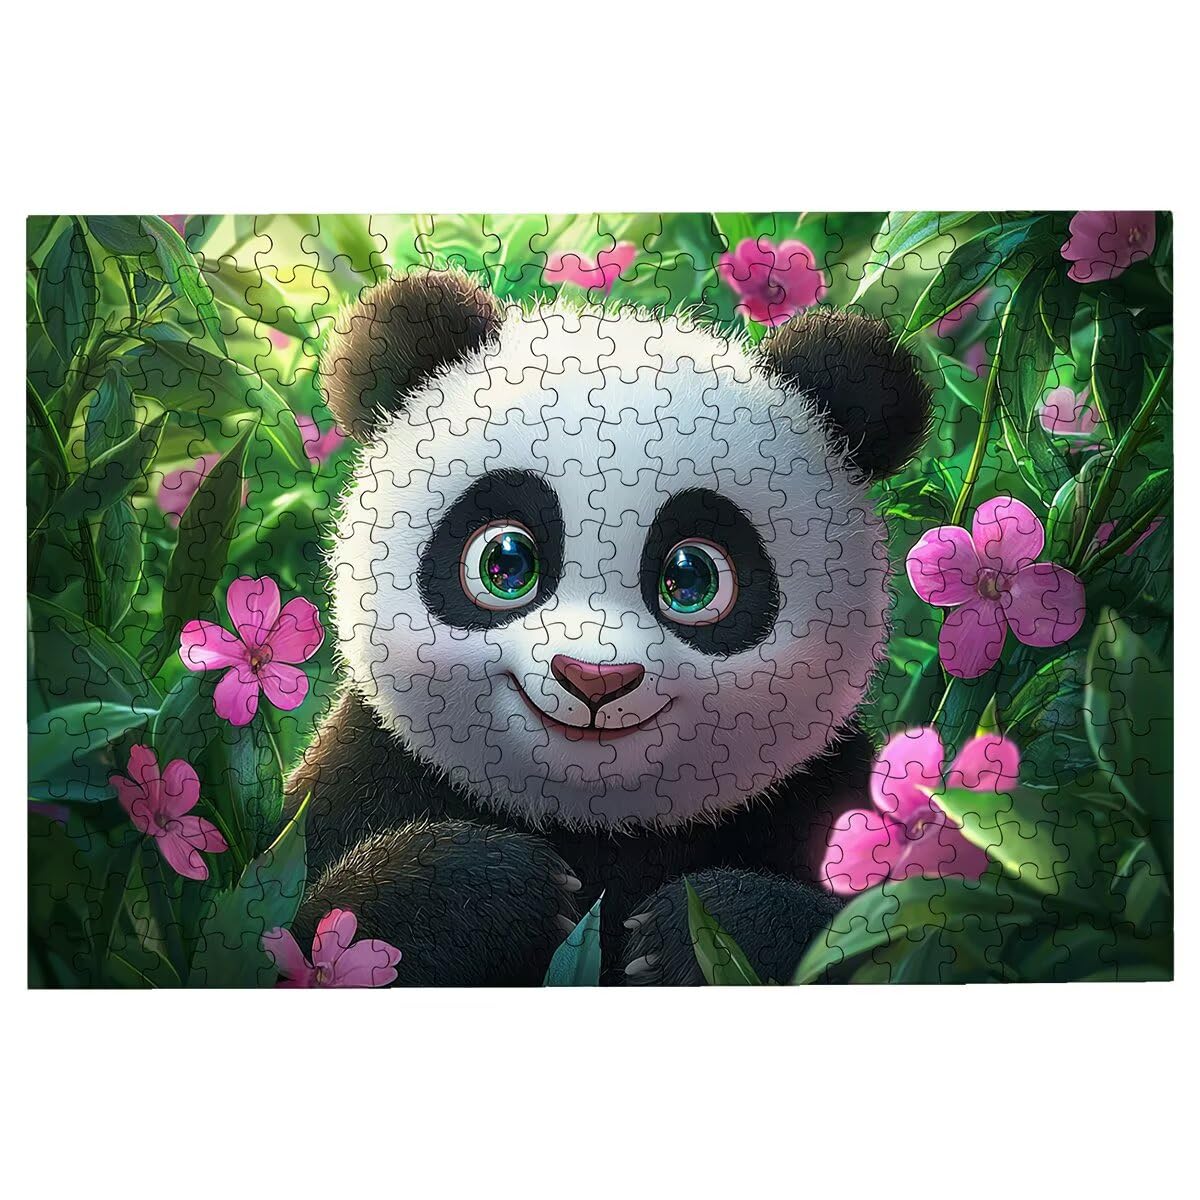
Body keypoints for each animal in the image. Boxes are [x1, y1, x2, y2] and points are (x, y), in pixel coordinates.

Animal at [283, 268, 930, 985]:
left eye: (692, 578)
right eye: (506, 561)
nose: (595, 678)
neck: (594, 821)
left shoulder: (821, 796)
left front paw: (694, 928)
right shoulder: (361, 772)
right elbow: (292, 936)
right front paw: (493, 890)